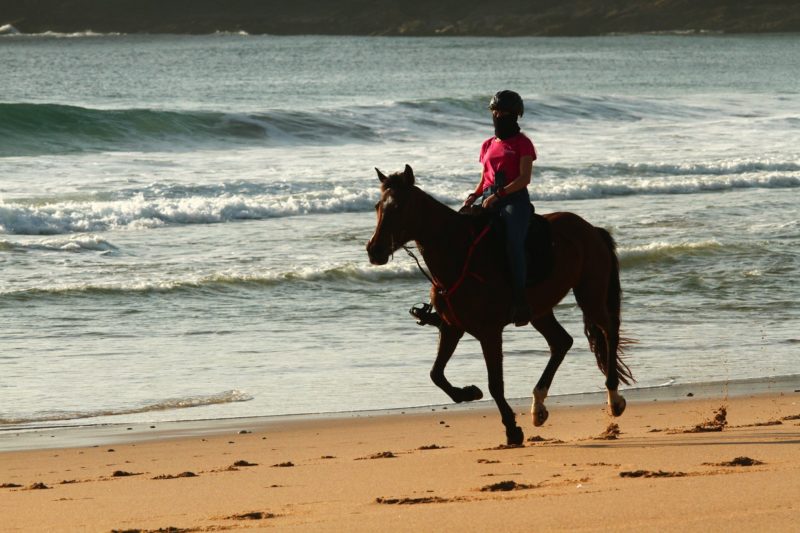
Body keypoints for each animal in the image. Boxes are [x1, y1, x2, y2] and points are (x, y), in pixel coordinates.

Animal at [366, 163, 636, 444]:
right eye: (377, 206)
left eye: (399, 207)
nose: (374, 250)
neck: (458, 256)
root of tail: (591, 230)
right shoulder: (452, 327)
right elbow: (436, 374)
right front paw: (469, 393)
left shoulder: (489, 332)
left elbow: (495, 384)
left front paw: (512, 428)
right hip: (539, 310)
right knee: (561, 342)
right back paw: (538, 406)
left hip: (589, 293)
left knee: (608, 331)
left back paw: (614, 399)